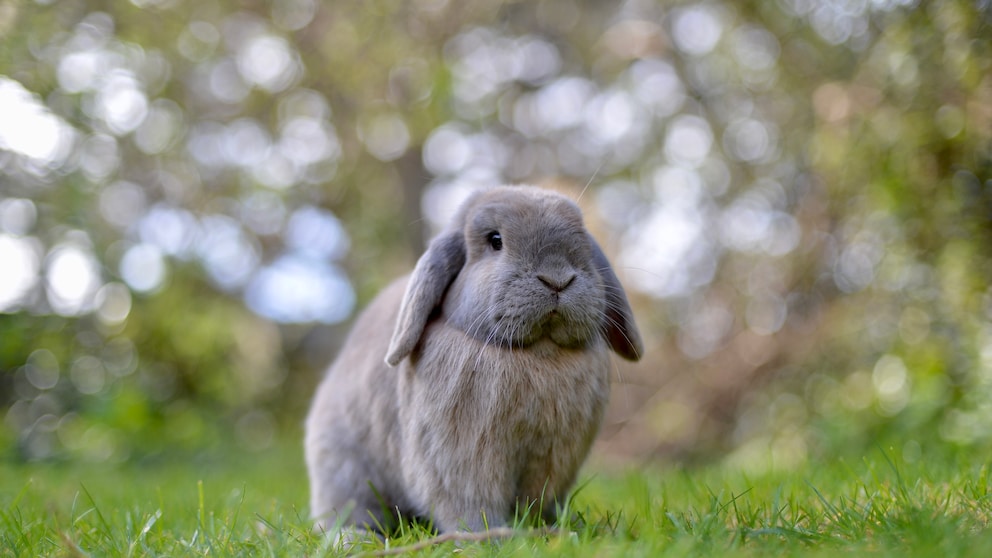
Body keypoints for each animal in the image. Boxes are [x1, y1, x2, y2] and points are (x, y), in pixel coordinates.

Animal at [304, 186, 644, 540]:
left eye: (582, 239)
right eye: (495, 240)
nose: (557, 279)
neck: (538, 353)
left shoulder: (554, 461)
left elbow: (540, 500)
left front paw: (549, 527)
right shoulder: (460, 459)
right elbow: (470, 503)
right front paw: (490, 537)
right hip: (343, 466)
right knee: (350, 510)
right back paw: (352, 538)